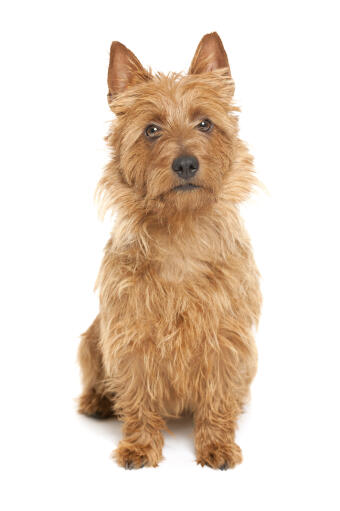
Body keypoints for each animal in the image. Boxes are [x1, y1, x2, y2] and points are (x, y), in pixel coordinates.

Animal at [78, 32, 262, 470]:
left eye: (205, 123)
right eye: (152, 129)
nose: (185, 164)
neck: (181, 232)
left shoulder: (226, 334)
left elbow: (219, 395)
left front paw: (217, 444)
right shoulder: (130, 332)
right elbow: (137, 396)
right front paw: (139, 447)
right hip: (92, 336)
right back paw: (96, 400)